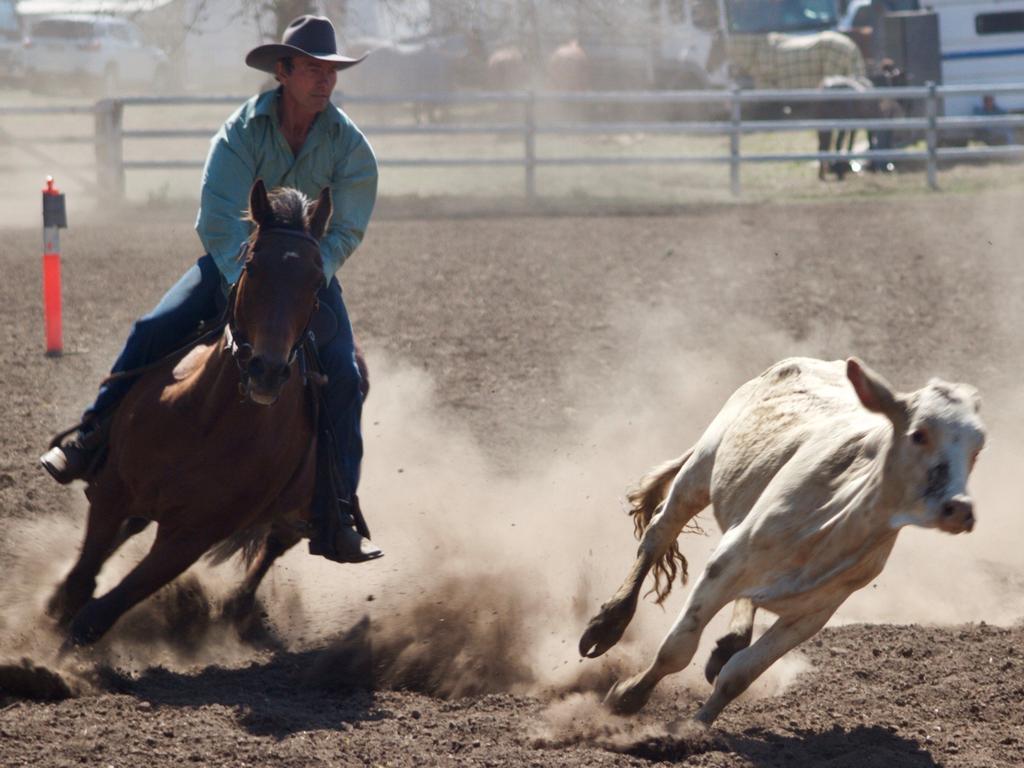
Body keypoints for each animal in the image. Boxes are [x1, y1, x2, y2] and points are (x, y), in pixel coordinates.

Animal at [48, 182, 331, 651]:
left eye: (316, 279)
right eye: (252, 266)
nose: (268, 371)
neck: (204, 420)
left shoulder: (193, 536)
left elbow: (99, 613)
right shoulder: (113, 489)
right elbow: (82, 580)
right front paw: (55, 612)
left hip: (298, 513)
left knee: (275, 543)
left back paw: (239, 608)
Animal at [577, 358, 983, 724]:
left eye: (977, 449)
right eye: (919, 434)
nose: (959, 509)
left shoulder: (814, 614)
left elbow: (740, 675)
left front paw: (692, 728)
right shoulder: (724, 566)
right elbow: (677, 649)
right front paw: (629, 695)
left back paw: (729, 642)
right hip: (701, 468)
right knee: (659, 533)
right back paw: (607, 624)